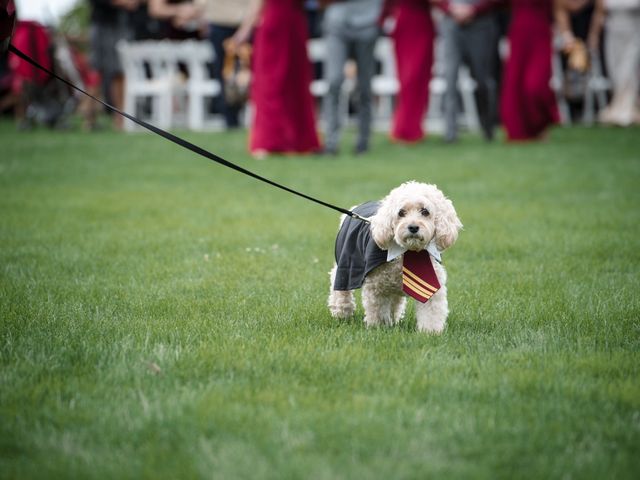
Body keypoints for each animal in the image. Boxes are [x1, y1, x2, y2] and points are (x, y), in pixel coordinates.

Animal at [330, 181, 460, 334]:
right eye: (401, 213)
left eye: (425, 212)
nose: (413, 227)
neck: (409, 251)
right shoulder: (376, 287)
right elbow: (377, 310)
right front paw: (378, 328)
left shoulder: (432, 285)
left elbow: (431, 312)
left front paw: (430, 332)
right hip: (344, 266)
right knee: (340, 290)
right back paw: (341, 313)